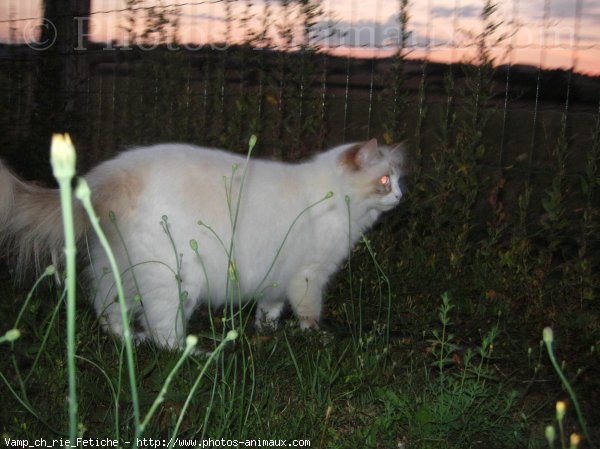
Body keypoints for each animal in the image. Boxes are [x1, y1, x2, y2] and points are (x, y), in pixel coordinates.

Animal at [0, 138, 406, 348]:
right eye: (385, 181)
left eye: (398, 180)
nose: (400, 197)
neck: (334, 195)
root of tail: (102, 180)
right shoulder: (309, 275)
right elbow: (309, 313)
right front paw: (314, 338)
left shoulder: (277, 277)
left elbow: (270, 310)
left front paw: (266, 332)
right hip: (173, 280)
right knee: (163, 330)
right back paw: (186, 353)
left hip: (118, 267)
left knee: (106, 305)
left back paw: (126, 339)